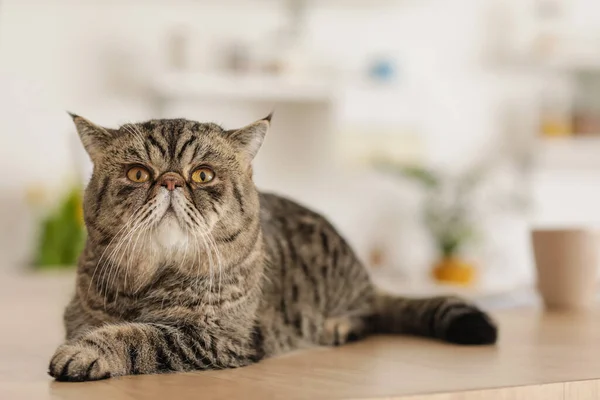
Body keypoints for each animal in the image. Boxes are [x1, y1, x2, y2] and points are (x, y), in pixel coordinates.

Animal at [49, 113, 496, 382]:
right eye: (139, 174)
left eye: (203, 174)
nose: (172, 181)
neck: (153, 279)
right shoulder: (78, 313)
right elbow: (111, 326)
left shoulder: (217, 336)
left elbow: (139, 336)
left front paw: (84, 353)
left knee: (368, 315)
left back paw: (339, 325)